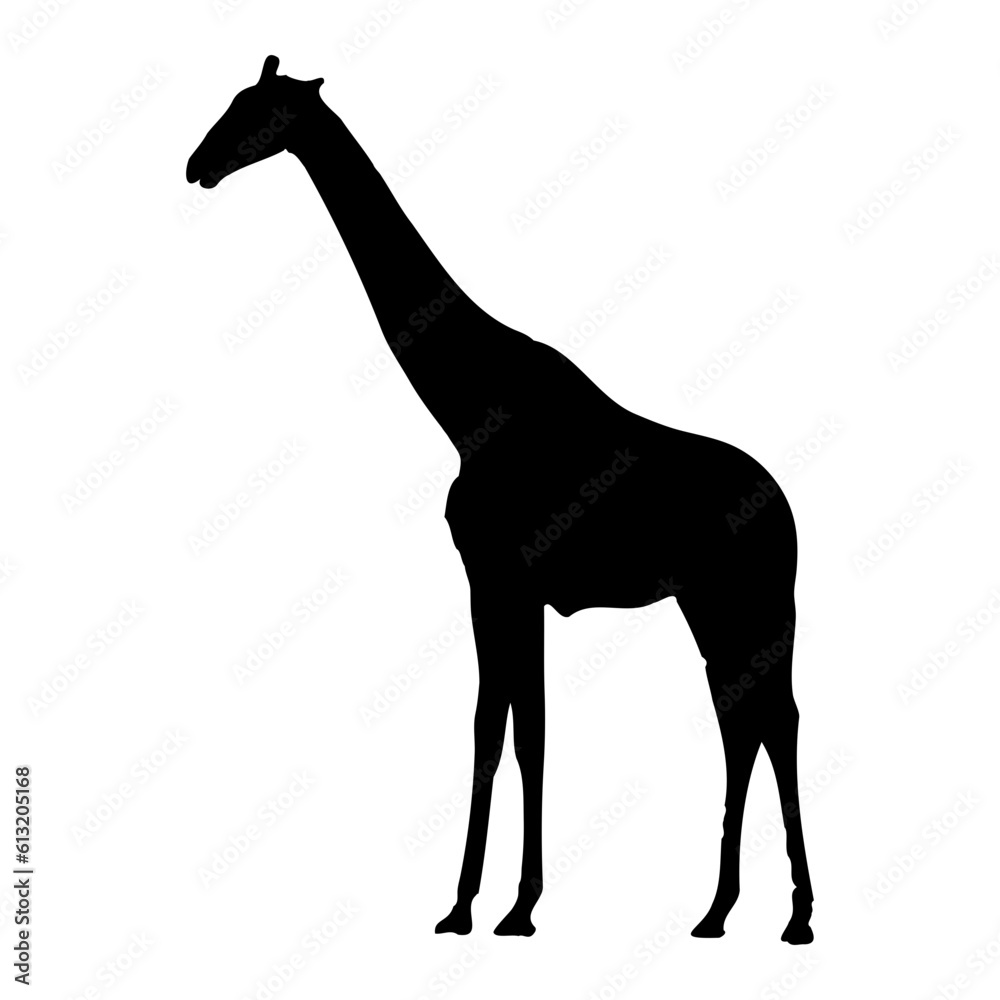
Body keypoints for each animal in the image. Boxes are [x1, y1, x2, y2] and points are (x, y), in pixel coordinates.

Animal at [187, 56, 814, 944]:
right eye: (233, 102)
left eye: (257, 110)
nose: (197, 165)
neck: (468, 404)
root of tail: (787, 507)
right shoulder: (504, 587)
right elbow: (505, 730)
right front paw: (477, 906)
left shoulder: (502, 581)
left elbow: (514, 734)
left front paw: (507, 907)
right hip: (714, 607)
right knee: (745, 721)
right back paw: (719, 910)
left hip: (750, 602)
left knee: (774, 720)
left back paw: (795, 915)